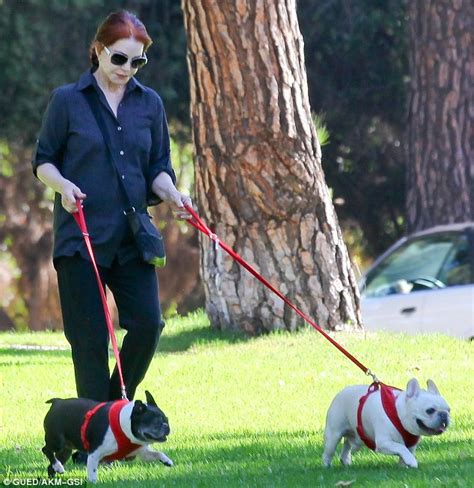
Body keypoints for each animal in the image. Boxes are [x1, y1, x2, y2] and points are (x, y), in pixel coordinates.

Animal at [42, 390, 172, 482]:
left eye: (167, 420)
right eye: (156, 423)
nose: (167, 427)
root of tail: (57, 401)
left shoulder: (142, 452)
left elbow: (157, 453)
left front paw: (167, 461)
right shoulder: (94, 454)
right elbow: (92, 472)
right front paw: (93, 483)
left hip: (66, 451)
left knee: (52, 464)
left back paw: (54, 473)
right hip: (57, 442)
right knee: (46, 450)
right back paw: (58, 466)